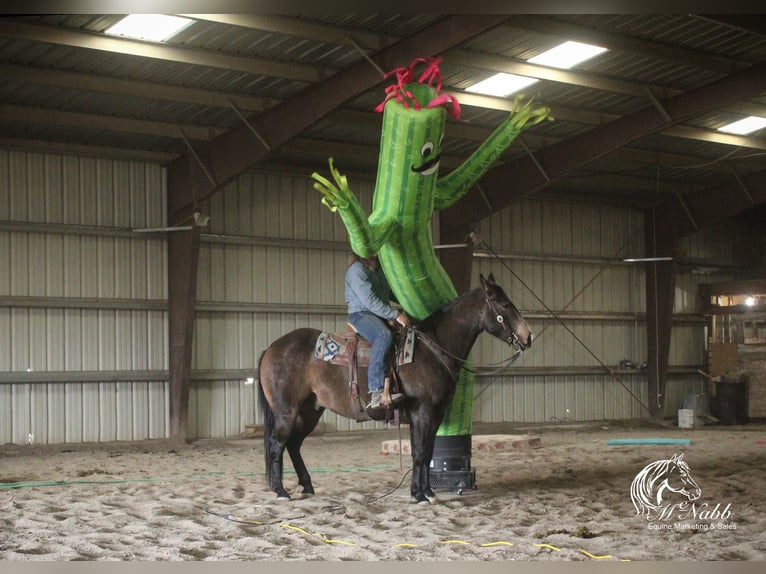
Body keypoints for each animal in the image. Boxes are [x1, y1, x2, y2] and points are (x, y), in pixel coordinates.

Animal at [258, 274, 536, 504]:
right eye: (504, 304)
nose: (528, 336)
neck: (433, 349)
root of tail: (272, 348)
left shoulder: (434, 415)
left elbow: (426, 452)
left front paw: (428, 491)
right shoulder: (422, 412)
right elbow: (420, 453)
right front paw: (419, 495)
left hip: (310, 411)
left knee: (293, 445)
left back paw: (306, 487)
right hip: (286, 412)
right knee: (276, 445)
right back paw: (281, 492)